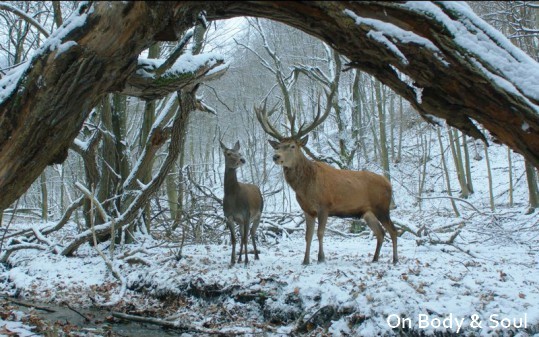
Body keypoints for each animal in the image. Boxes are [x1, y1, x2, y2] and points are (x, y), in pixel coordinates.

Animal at [255, 100, 398, 266]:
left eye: (292, 146)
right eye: (277, 146)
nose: (276, 156)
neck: (305, 188)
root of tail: (389, 183)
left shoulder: (324, 205)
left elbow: (320, 232)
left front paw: (321, 258)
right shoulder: (307, 210)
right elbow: (308, 235)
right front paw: (305, 260)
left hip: (382, 207)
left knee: (393, 231)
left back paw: (395, 259)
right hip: (367, 212)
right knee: (380, 232)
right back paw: (374, 258)